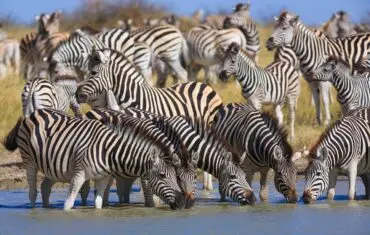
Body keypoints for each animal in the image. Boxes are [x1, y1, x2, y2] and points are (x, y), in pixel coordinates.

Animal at [2, 109, 185, 210]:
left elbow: (98, 203)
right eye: (162, 175)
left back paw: (47, 209)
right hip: (29, 162)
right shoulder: (79, 174)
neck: (109, 150)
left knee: (45, 187)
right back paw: (34, 211)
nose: (182, 201)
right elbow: (68, 204)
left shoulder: (103, 177)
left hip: (52, 166)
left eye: (176, 176)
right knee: (33, 192)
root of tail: (33, 113)